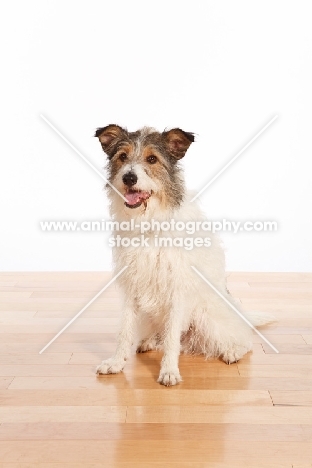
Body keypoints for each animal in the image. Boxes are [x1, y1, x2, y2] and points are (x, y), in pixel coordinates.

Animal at [94, 123, 272, 384]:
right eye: (123, 157)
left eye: (152, 159)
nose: (129, 177)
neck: (150, 222)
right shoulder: (131, 285)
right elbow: (124, 330)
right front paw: (117, 362)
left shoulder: (177, 288)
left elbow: (171, 339)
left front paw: (169, 370)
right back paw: (149, 341)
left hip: (208, 317)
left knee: (243, 340)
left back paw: (232, 351)